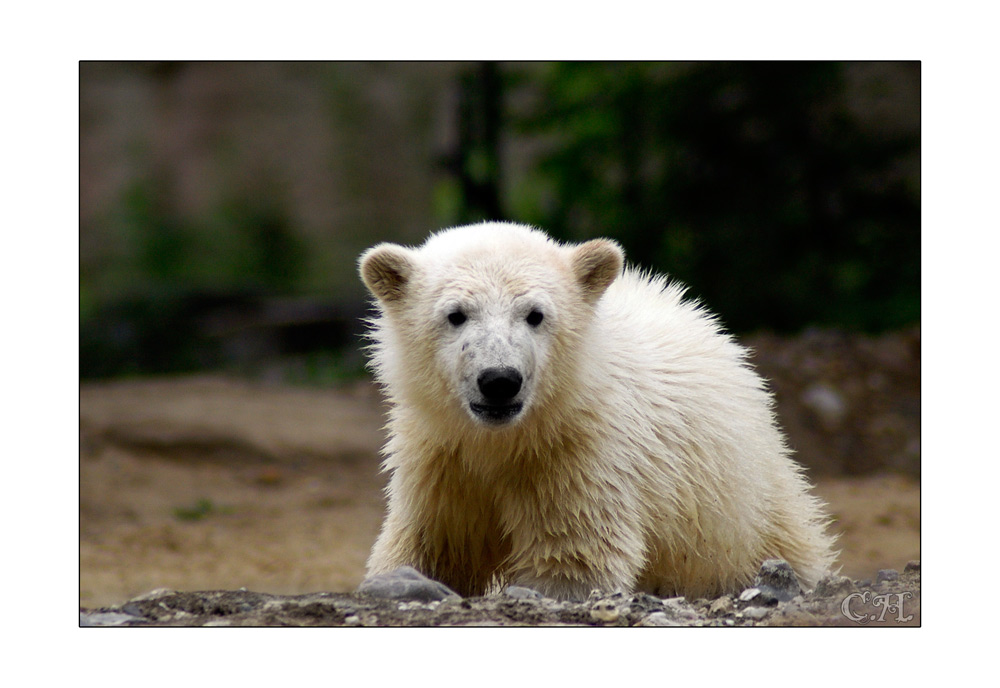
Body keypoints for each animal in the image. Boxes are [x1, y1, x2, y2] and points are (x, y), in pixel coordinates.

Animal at [358, 223, 836, 600]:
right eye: (456, 314)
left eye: (535, 314)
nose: (499, 380)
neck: (504, 440)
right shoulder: (439, 459)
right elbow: (428, 546)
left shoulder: (581, 456)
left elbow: (574, 556)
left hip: (744, 495)